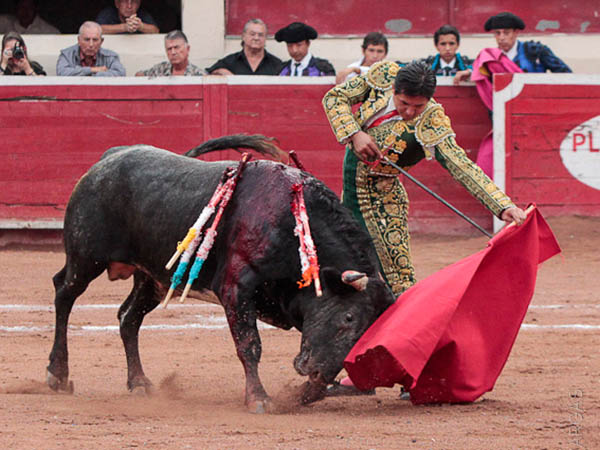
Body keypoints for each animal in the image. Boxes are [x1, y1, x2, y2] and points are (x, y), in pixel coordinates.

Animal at [45, 134, 394, 412]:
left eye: (367, 332)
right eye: (348, 317)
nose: (320, 373)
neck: (292, 224)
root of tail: (109, 158)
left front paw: (304, 395)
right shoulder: (236, 288)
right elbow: (249, 344)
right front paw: (258, 398)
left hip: (153, 279)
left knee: (128, 318)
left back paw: (140, 382)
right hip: (86, 257)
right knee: (64, 293)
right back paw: (57, 374)